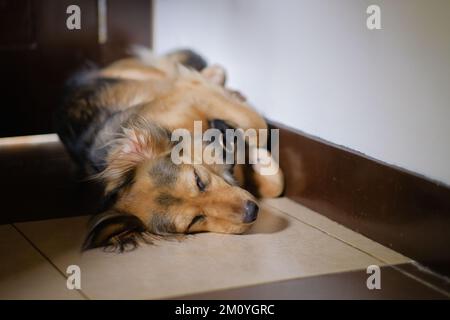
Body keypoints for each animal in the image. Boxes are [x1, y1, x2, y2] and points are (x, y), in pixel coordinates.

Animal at [54, 48, 284, 251]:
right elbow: (272, 181)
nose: (252, 211)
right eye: (195, 220)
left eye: (198, 180)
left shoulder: (188, 93)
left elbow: (259, 128)